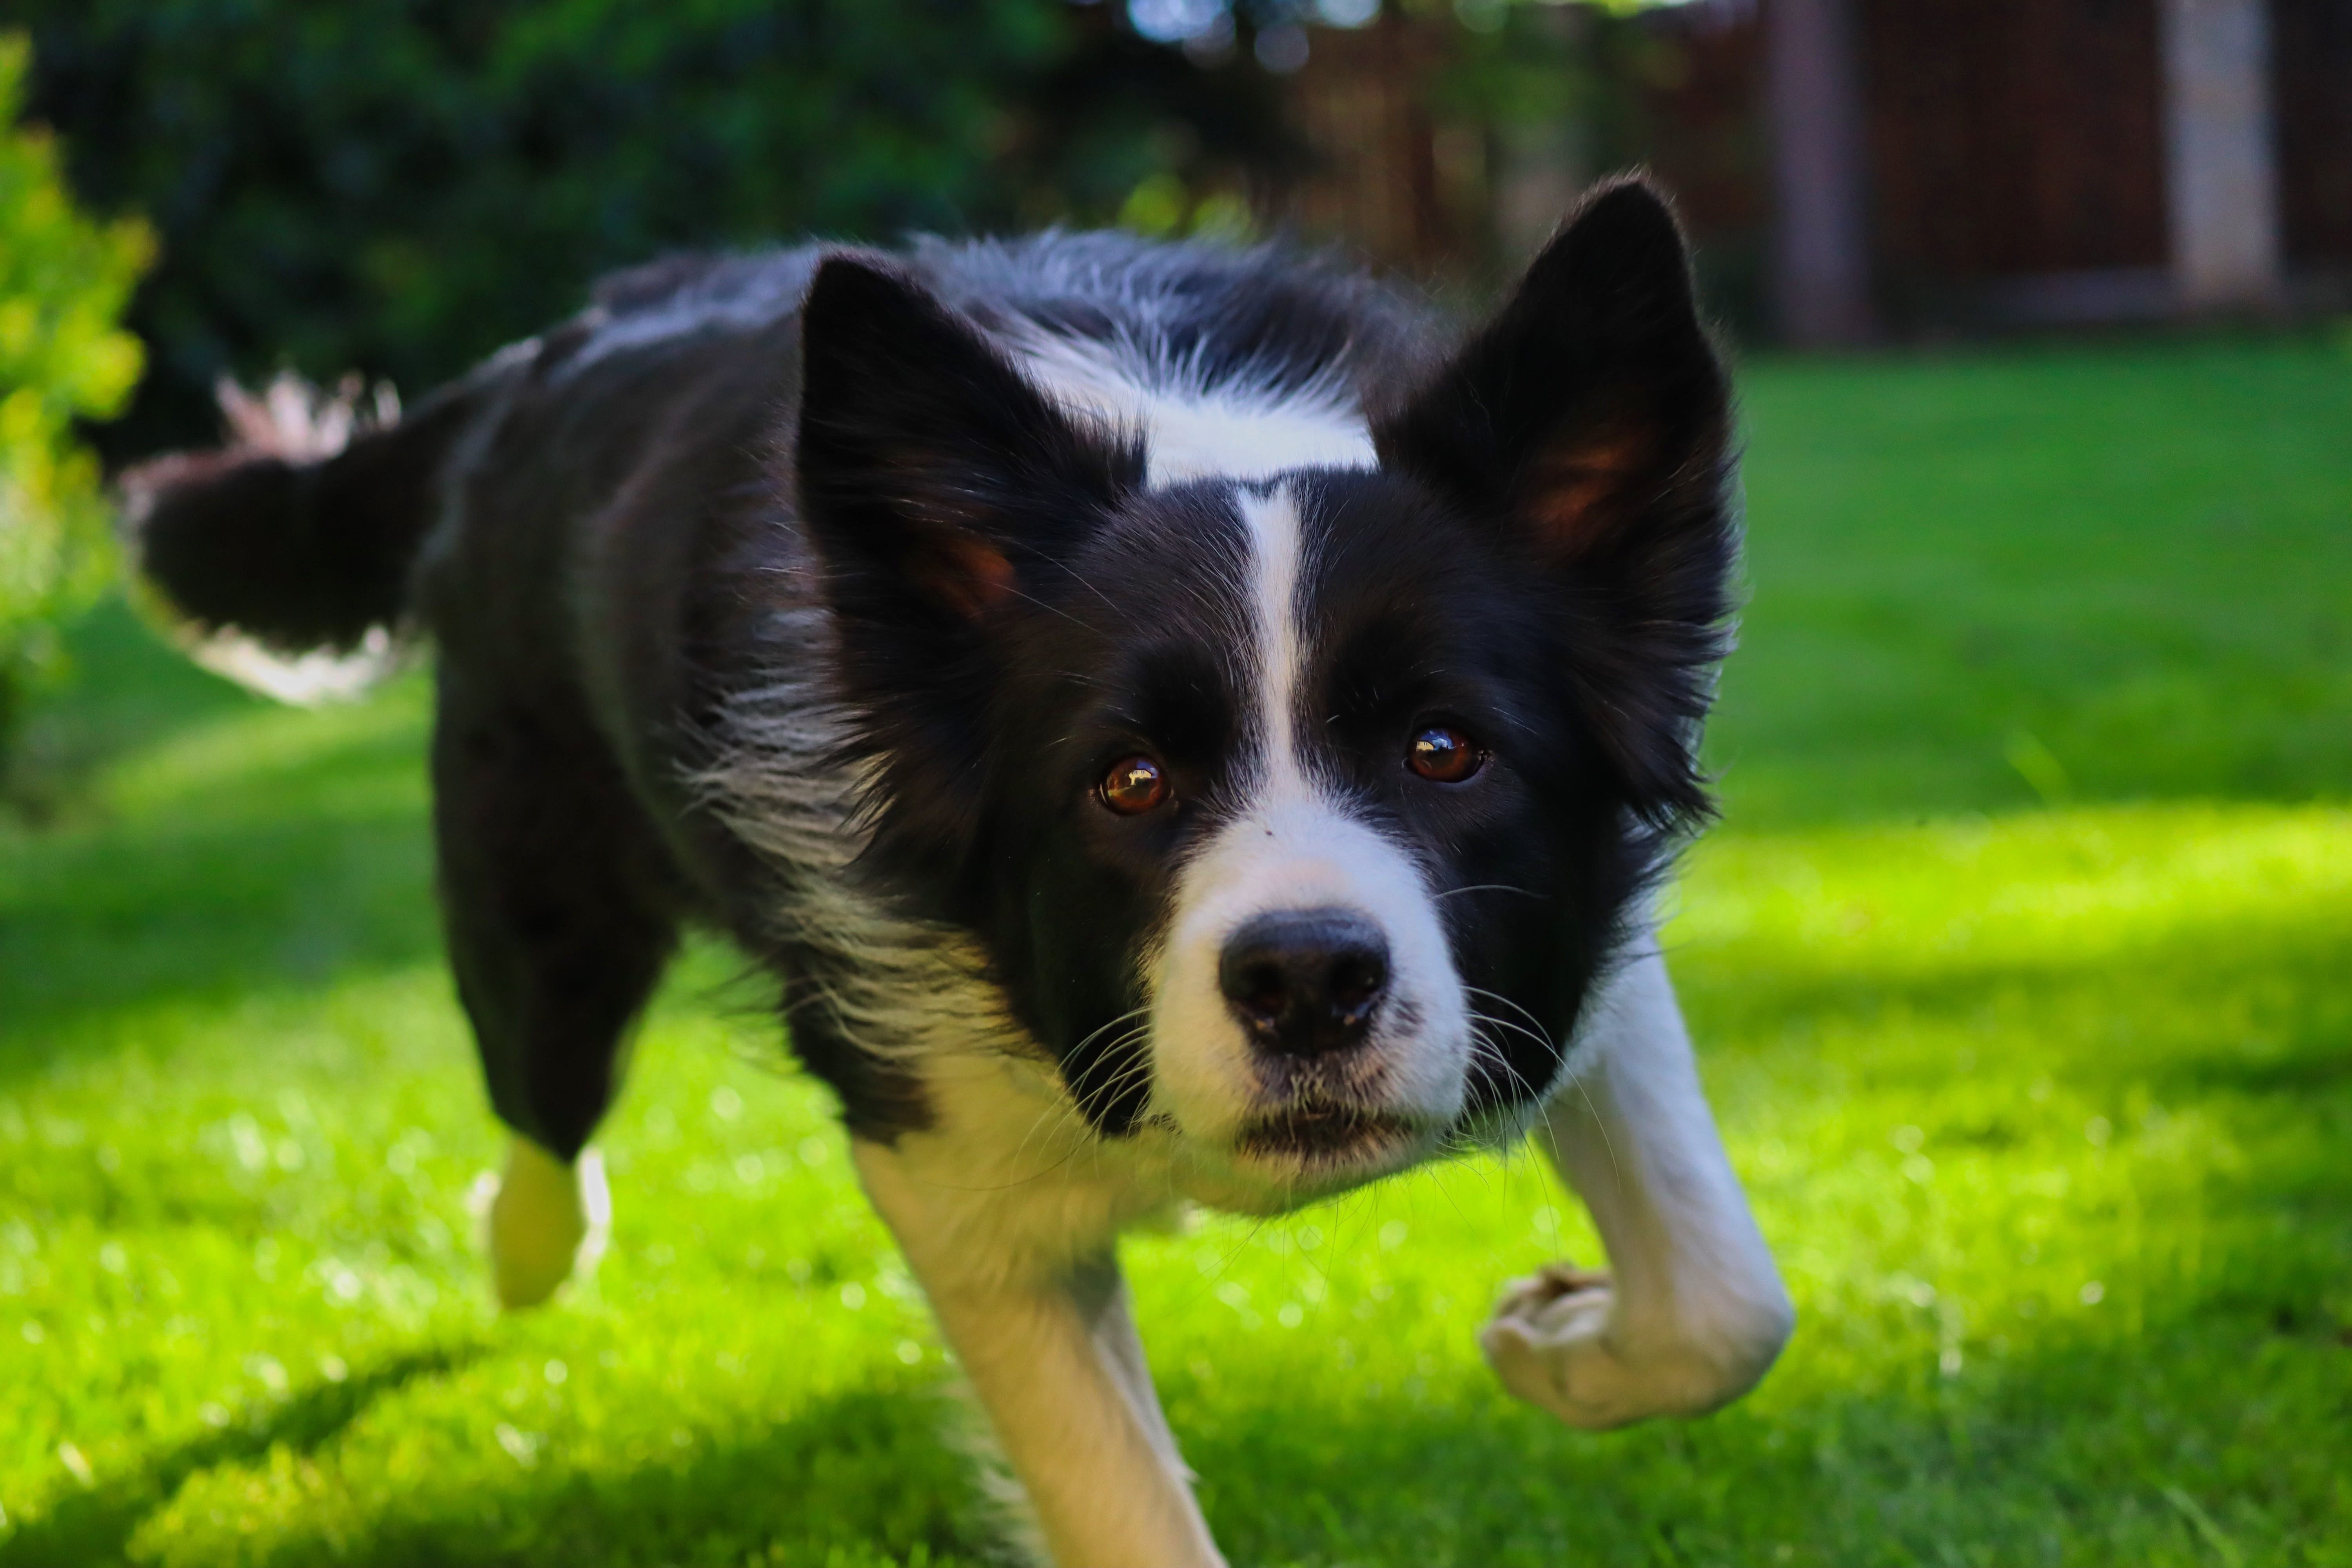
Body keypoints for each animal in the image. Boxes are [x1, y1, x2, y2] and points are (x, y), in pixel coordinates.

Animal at [133, 177, 1778, 1561]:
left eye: (1446, 750)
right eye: (1129, 782)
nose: (1307, 981)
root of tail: (554, 350)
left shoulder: (1570, 953)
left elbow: (1728, 1302)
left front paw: (1562, 1345)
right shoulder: (939, 1157)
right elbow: (1118, 1502)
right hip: (539, 903)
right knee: (544, 1113)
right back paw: (525, 1244)